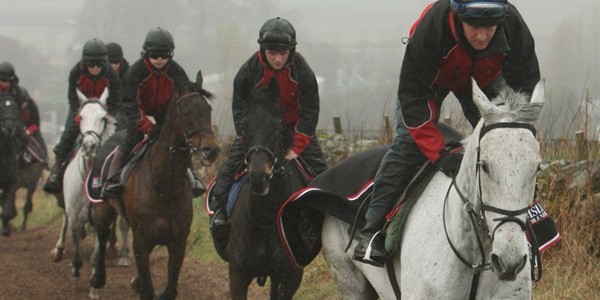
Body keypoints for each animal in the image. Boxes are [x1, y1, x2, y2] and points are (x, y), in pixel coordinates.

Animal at [89, 73, 220, 300]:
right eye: (186, 112)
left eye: (208, 110)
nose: (210, 150)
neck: (164, 184)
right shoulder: (141, 240)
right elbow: (148, 289)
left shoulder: (178, 241)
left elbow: (170, 290)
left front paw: (142, 283)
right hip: (102, 206)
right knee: (102, 233)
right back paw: (97, 278)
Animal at [224, 86, 304, 298]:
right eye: (244, 127)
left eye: (276, 127)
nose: (259, 176)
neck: (266, 219)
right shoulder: (237, 275)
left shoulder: (291, 277)